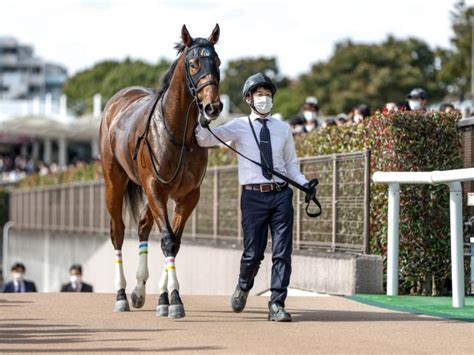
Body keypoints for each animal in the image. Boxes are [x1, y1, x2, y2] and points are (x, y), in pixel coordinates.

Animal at [100, 25, 222, 320]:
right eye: (193, 63)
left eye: (218, 62)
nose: (213, 107)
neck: (178, 133)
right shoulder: (155, 186)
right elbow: (167, 239)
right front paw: (173, 299)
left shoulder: (188, 194)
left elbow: (174, 240)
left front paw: (166, 298)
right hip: (114, 181)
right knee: (117, 231)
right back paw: (121, 295)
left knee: (144, 226)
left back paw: (139, 291)